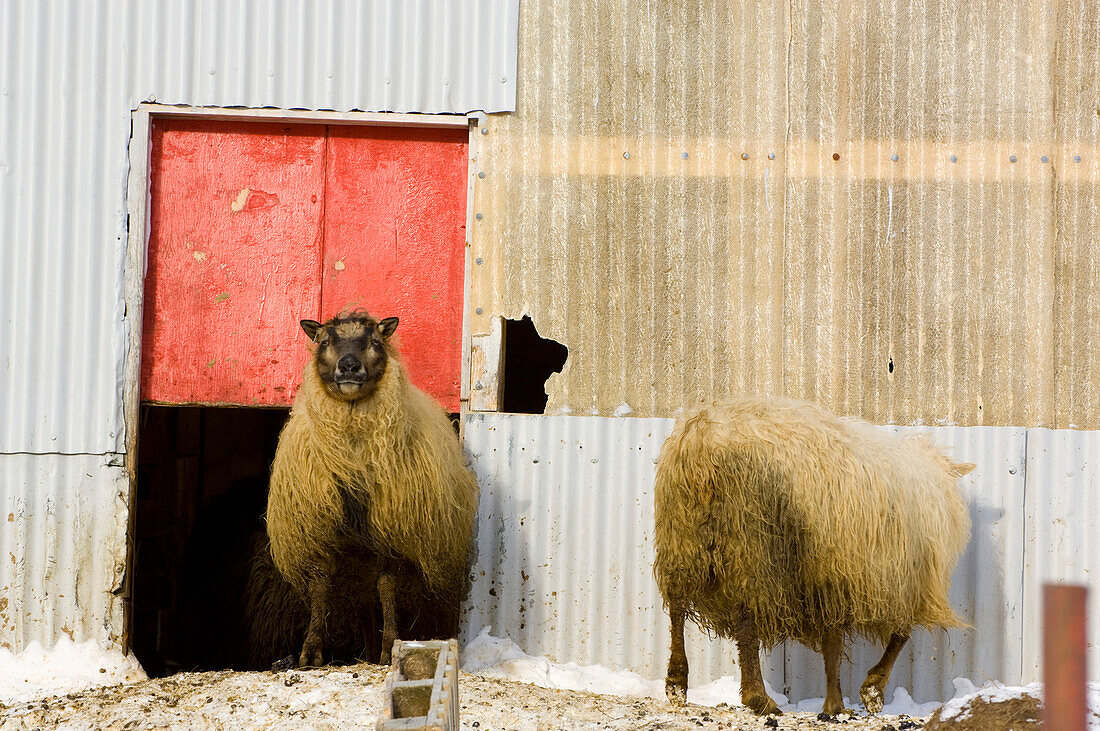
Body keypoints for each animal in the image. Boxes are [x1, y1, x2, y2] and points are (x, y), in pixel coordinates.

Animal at [268, 309, 479, 668]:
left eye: (376, 342)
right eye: (324, 341)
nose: (350, 366)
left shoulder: (390, 533)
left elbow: (387, 586)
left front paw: (390, 645)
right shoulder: (319, 531)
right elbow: (320, 588)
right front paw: (310, 652)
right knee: (365, 608)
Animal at [651, 395, 972, 716]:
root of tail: (703, 442)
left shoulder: (831, 576)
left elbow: (834, 640)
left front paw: (835, 703)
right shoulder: (894, 578)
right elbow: (897, 635)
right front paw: (869, 690)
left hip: (681, 535)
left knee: (677, 607)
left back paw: (676, 683)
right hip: (750, 542)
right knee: (745, 622)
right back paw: (758, 697)